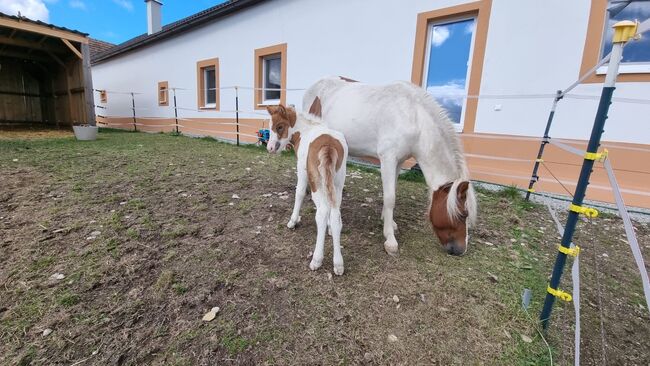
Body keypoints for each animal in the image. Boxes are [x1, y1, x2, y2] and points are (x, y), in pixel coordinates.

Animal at [264, 105, 350, 274]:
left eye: (279, 126)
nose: (269, 148)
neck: (305, 131)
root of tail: (328, 145)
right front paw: (330, 229)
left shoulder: (302, 170)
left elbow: (299, 193)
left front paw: (292, 221)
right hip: (338, 182)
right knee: (335, 213)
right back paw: (338, 264)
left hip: (317, 182)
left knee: (322, 212)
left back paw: (317, 260)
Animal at [298, 77, 476, 254]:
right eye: (463, 214)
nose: (461, 250)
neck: (413, 116)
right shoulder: (388, 159)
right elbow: (390, 197)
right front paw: (390, 239)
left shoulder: (399, 161)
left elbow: (392, 191)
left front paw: (389, 221)